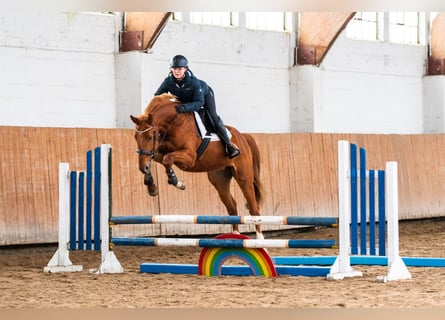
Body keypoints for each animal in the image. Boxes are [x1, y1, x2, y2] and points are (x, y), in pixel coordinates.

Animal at [130, 94, 266, 239]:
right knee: (232, 206)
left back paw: (259, 239)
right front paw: (151, 185)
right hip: (219, 180)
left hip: (243, 177)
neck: (173, 123)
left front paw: (177, 182)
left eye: (150, 137)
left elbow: (167, 159)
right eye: (135, 137)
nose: (142, 168)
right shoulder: (159, 151)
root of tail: (243, 137)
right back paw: (234, 235)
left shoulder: (190, 157)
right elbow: (159, 159)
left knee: (254, 207)